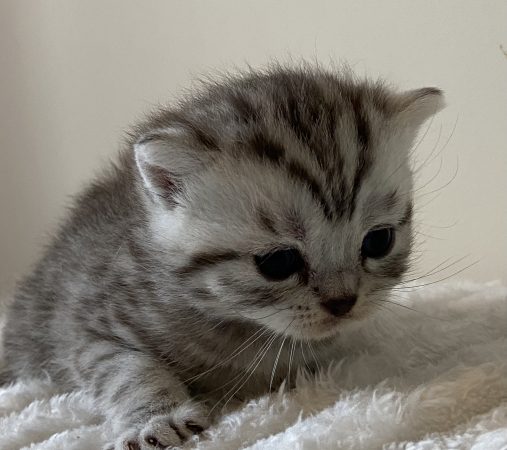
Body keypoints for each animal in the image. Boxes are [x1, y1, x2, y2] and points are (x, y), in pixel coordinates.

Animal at [0, 64, 444, 450]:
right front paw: (156, 417)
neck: (240, 326)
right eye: (278, 263)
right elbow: (125, 369)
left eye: (378, 242)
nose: (343, 302)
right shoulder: (86, 326)